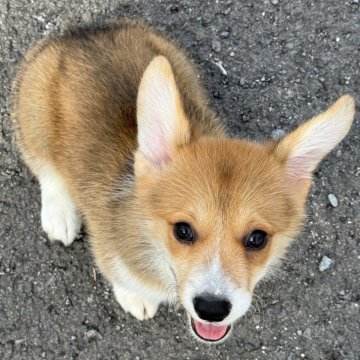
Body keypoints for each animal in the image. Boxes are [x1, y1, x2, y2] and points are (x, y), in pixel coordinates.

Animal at [11, 20, 354, 344]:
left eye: (258, 238)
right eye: (183, 230)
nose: (212, 309)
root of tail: (80, 32)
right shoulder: (106, 242)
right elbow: (117, 272)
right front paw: (134, 296)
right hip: (32, 115)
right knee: (44, 167)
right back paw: (59, 215)